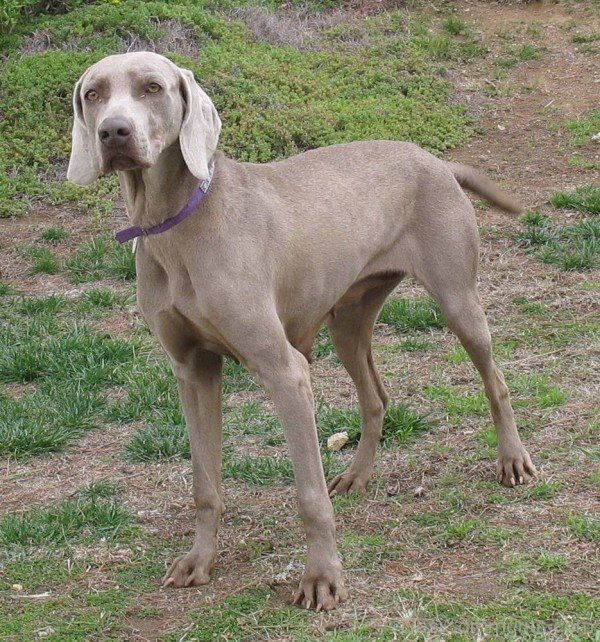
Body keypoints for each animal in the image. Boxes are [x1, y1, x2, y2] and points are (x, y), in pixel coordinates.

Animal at [68, 52, 536, 608]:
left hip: (458, 302)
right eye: (93, 93)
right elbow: (205, 485)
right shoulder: (192, 371)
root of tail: (436, 160)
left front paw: (322, 578)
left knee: (495, 381)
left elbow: (308, 494)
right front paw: (200, 561)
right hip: (348, 321)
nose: (113, 132)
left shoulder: (285, 371)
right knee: (376, 398)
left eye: (152, 87)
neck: (177, 225)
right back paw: (357, 475)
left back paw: (512, 460)